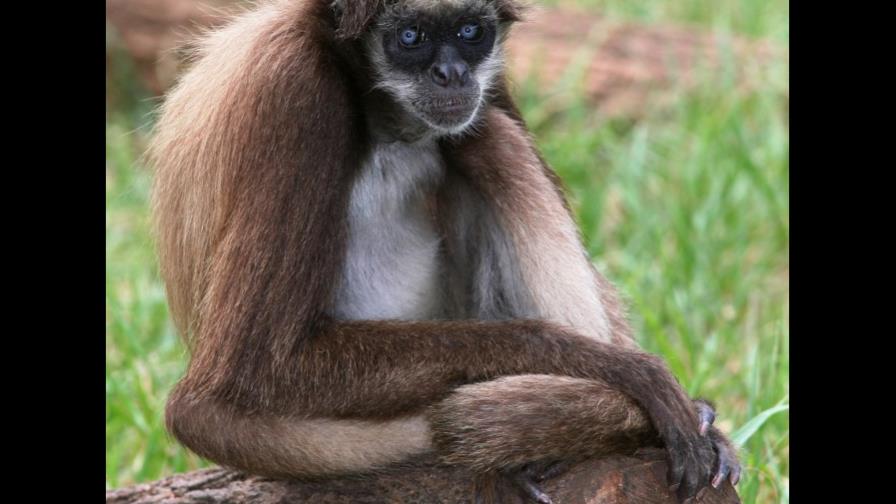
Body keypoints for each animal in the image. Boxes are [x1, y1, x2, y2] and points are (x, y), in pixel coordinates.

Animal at [149, 0, 741, 502]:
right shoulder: (296, 91)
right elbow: (253, 371)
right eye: (410, 37)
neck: (383, 119)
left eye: (470, 32)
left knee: (482, 136)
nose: (451, 74)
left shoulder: (485, 82)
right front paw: (616, 368)